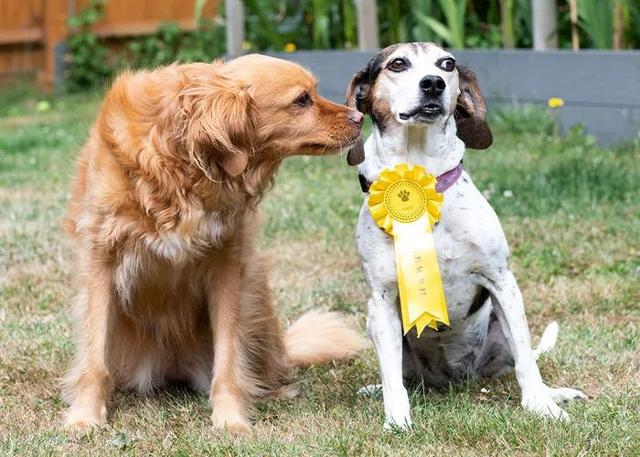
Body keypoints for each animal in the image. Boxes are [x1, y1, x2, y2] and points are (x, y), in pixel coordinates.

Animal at [63, 54, 364, 432]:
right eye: (302, 100)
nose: (360, 117)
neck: (180, 161)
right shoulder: (100, 259)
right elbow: (94, 356)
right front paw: (85, 416)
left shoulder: (228, 265)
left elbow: (229, 357)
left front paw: (231, 417)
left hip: (257, 293)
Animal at [344, 42, 584, 428]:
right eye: (398, 64)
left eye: (447, 64)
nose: (433, 83)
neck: (422, 177)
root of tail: (452, 379)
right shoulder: (381, 301)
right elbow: (392, 377)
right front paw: (397, 421)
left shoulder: (502, 282)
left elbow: (526, 363)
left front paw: (542, 406)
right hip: (374, 324)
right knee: (403, 377)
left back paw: (554, 392)